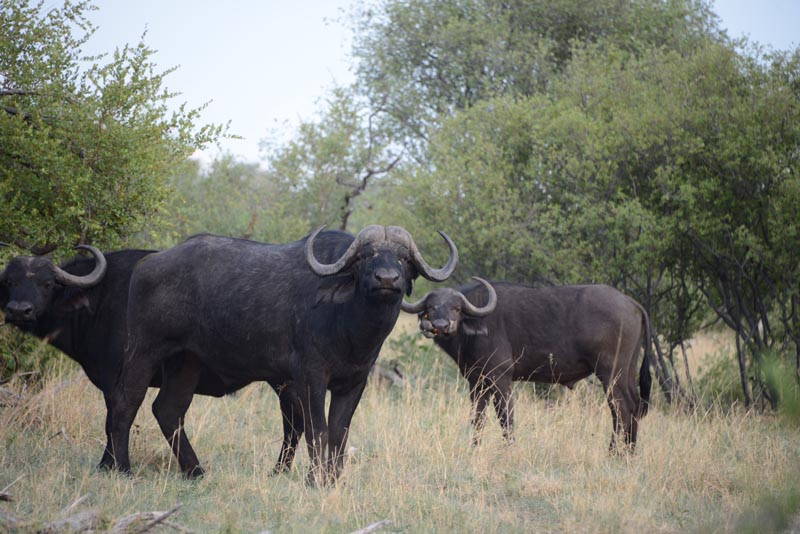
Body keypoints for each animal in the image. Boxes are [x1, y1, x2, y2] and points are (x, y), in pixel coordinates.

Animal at [113, 225, 457, 483]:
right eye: (367, 256)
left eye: (403, 259)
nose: (386, 279)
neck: (350, 326)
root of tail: (147, 264)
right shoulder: (310, 379)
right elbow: (317, 431)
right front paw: (315, 479)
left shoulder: (355, 382)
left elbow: (339, 433)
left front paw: (333, 479)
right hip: (143, 350)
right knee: (126, 402)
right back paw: (120, 468)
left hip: (186, 360)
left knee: (168, 410)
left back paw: (195, 471)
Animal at [402, 279, 652, 451]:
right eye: (432, 307)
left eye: (456, 308)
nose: (441, 325)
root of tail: (632, 303)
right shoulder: (477, 381)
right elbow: (477, 418)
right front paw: (474, 447)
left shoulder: (500, 378)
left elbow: (505, 416)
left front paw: (509, 449)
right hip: (626, 372)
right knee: (634, 406)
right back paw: (629, 453)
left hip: (610, 373)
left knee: (622, 408)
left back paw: (613, 453)